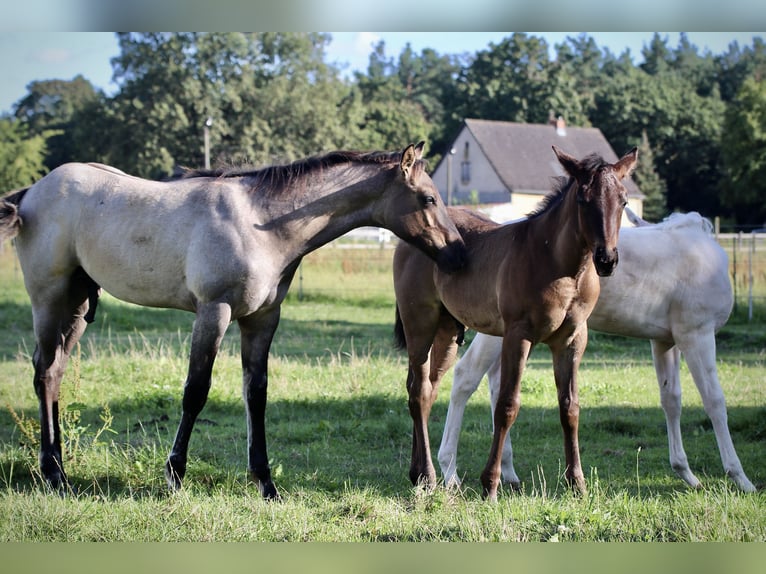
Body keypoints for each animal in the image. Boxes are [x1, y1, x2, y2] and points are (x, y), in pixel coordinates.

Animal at [0, 143, 468, 500]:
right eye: (429, 199)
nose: (459, 254)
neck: (261, 223)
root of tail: (31, 192)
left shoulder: (261, 319)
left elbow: (255, 395)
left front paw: (266, 483)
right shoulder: (214, 311)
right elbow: (195, 392)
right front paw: (175, 476)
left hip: (78, 305)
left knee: (55, 372)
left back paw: (58, 465)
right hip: (49, 299)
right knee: (45, 373)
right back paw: (53, 474)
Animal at [392, 146, 640, 502]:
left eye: (623, 201)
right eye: (583, 199)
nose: (607, 260)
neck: (560, 266)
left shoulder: (573, 339)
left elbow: (570, 407)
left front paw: (577, 483)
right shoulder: (517, 336)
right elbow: (507, 405)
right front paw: (490, 484)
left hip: (448, 331)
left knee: (427, 388)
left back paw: (418, 474)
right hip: (419, 323)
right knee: (417, 390)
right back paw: (427, 476)